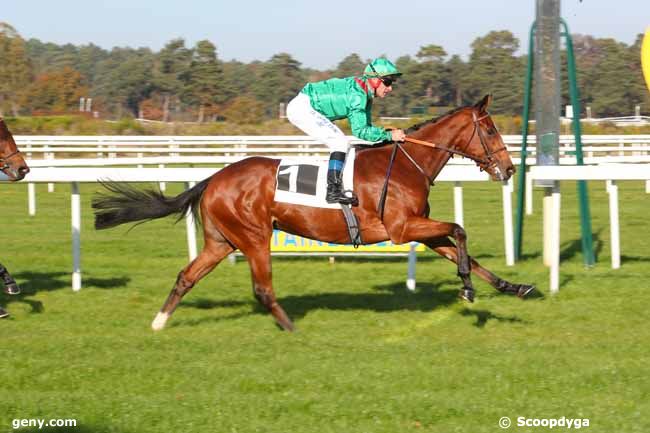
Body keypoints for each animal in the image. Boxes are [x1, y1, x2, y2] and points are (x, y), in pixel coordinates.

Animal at [93, 94, 536, 330]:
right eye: (491, 130)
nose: (510, 169)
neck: (408, 163)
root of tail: (214, 178)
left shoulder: (416, 228)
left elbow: (465, 252)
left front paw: (513, 287)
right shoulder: (402, 228)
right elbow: (460, 230)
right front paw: (467, 288)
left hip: (221, 242)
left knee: (187, 276)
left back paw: (159, 321)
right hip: (254, 237)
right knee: (262, 288)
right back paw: (290, 327)